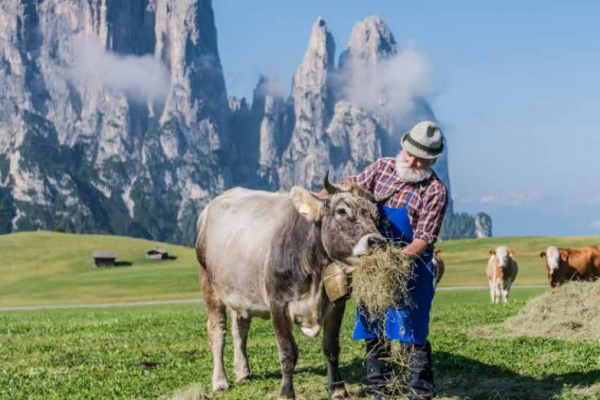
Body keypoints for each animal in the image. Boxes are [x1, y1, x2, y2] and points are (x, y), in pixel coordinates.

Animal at [196, 175, 384, 400]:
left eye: (376, 215)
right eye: (342, 211)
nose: (377, 241)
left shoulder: (337, 304)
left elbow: (331, 347)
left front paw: (338, 389)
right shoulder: (278, 304)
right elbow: (288, 352)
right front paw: (286, 393)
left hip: (241, 290)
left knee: (240, 328)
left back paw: (243, 372)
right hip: (209, 284)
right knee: (217, 331)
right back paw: (220, 381)